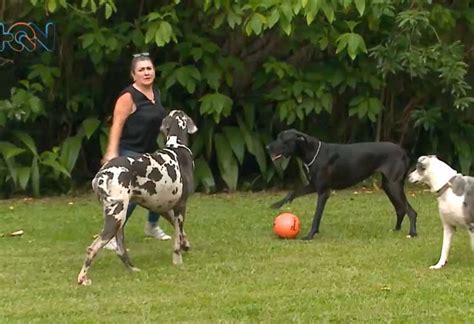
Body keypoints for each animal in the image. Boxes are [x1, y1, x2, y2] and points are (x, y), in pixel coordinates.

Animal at [78, 110, 196, 284]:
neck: (177, 146)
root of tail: (101, 175)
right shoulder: (181, 206)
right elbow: (177, 239)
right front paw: (178, 260)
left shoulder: (164, 208)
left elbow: (180, 233)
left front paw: (186, 244)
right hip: (116, 218)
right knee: (93, 248)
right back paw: (83, 278)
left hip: (119, 221)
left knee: (120, 250)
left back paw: (133, 270)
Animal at [266, 130, 418, 240]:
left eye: (283, 139)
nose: (267, 147)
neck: (313, 152)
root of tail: (404, 152)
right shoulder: (314, 185)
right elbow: (293, 192)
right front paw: (277, 204)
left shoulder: (323, 192)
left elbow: (316, 216)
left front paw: (310, 235)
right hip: (388, 185)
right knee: (401, 209)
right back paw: (396, 229)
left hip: (393, 185)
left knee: (411, 211)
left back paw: (412, 233)